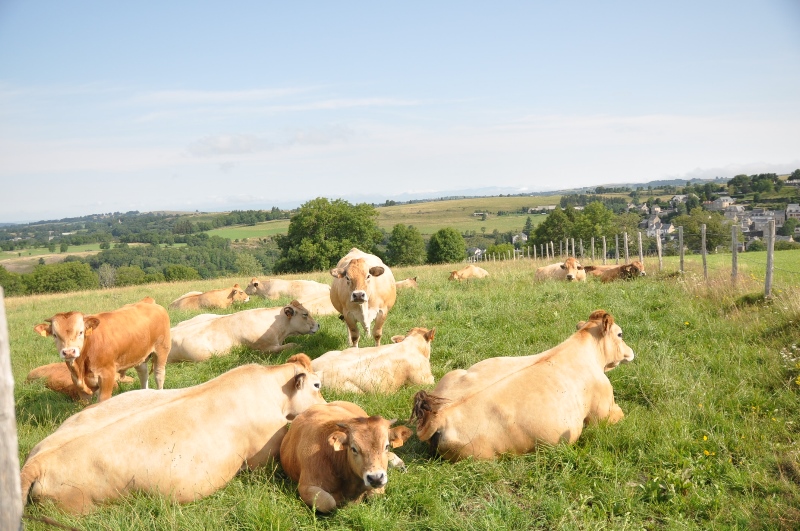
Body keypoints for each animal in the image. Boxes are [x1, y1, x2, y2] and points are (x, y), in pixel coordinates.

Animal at [33, 297, 171, 402]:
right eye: (55, 335)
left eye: (81, 332)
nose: (69, 352)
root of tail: (147, 301)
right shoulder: (78, 384)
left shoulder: (107, 376)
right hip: (139, 355)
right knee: (143, 373)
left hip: (162, 350)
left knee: (159, 375)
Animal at [280, 401, 413, 513]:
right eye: (353, 448)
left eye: (386, 446)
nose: (375, 478)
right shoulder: (306, 486)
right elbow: (328, 502)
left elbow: (376, 495)